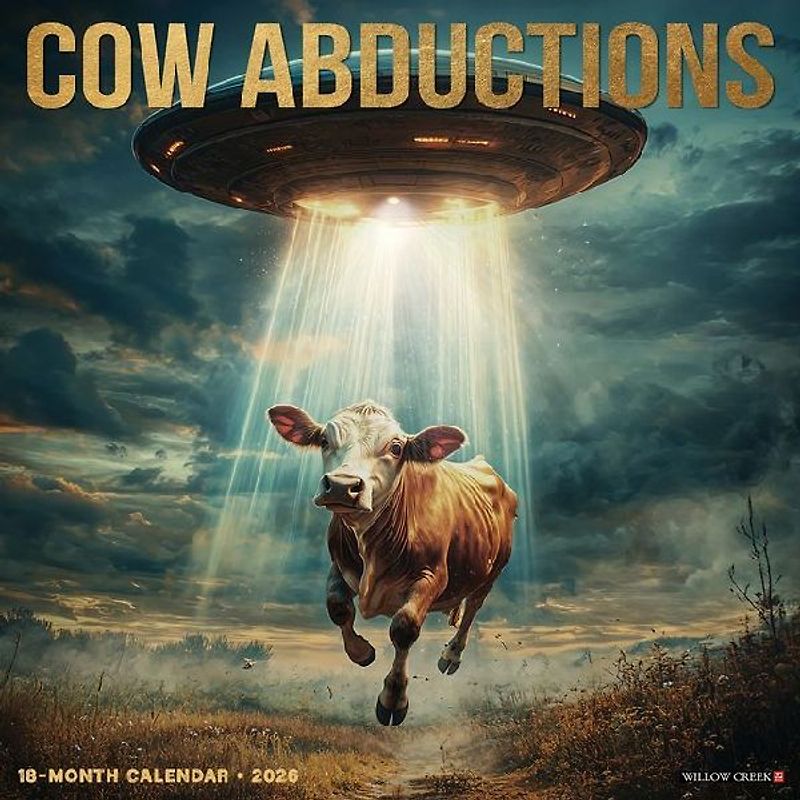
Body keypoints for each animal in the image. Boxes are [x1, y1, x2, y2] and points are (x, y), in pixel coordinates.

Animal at [267, 400, 516, 725]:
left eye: (396, 447)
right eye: (323, 440)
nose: (341, 486)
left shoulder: (433, 576)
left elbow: (404, 628)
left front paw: (394, 699)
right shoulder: (340, 564)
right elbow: (337, 607)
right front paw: (360, 651)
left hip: (492, 571)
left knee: (473, 607)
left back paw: (451, 655)